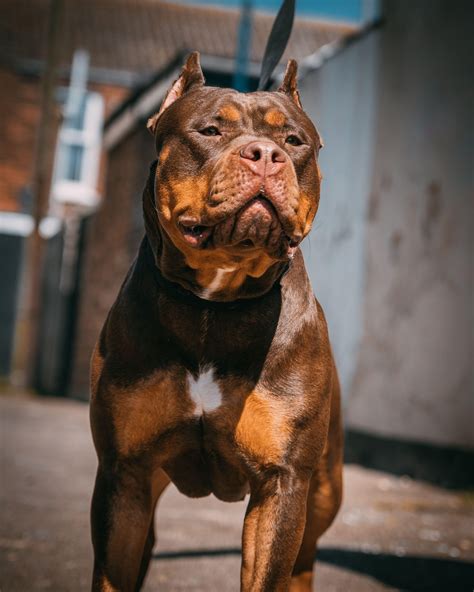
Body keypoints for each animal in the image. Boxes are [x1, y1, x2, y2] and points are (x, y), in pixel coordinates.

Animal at [90, 52, 340, 592]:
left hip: (323, 494)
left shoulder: (282, 484)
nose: (265, 154)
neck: (215, 303)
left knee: (305, 559)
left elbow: (268, 574)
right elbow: (112, 574)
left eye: (295, 141)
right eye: (209, 130)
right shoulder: (124, 474)